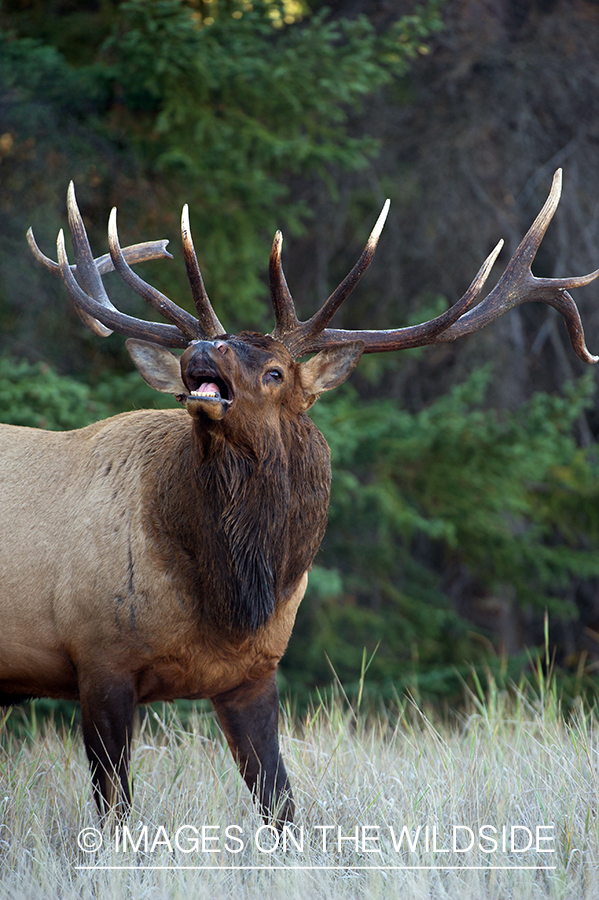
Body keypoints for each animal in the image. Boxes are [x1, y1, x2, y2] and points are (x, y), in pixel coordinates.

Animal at [0, 169, 597, 829]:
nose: (202, 347)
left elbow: (280, 804)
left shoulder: (254, 673)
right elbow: (116, 813)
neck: (230, 597)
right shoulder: (98, 657)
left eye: (276, 371)